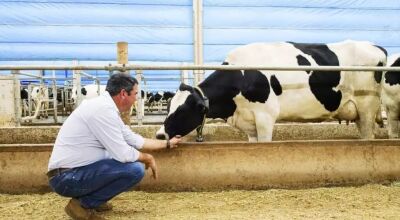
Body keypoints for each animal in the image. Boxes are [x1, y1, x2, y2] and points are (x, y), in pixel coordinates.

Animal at [157, 40, 388, 142]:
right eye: (168, 108)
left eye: (182, 111)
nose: (159, 135)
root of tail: (376, 46)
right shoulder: (249, 123)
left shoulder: (265, 117)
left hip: (367, 108)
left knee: (368, 137)